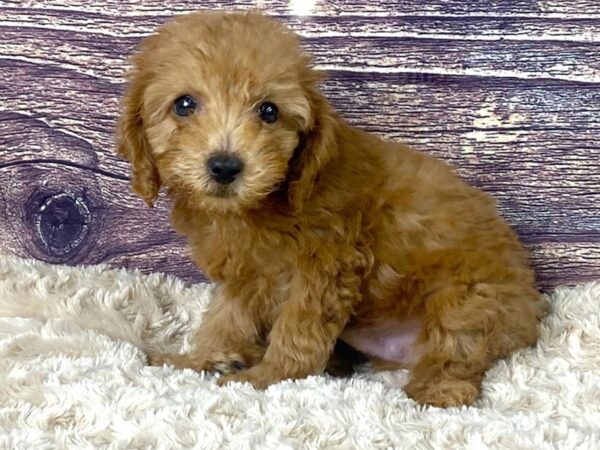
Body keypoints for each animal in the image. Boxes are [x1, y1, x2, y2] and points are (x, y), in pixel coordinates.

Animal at [116, 11, 544, 408]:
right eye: (184, 105)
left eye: (268, 111)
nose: (224, 166)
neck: (259, 205)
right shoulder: (247, 272)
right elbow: (226, 318)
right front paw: (198, 360)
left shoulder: (325, 265)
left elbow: (297, 331)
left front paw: (266, 377)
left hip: (469, 300)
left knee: (457, 354)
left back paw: (435, 391)